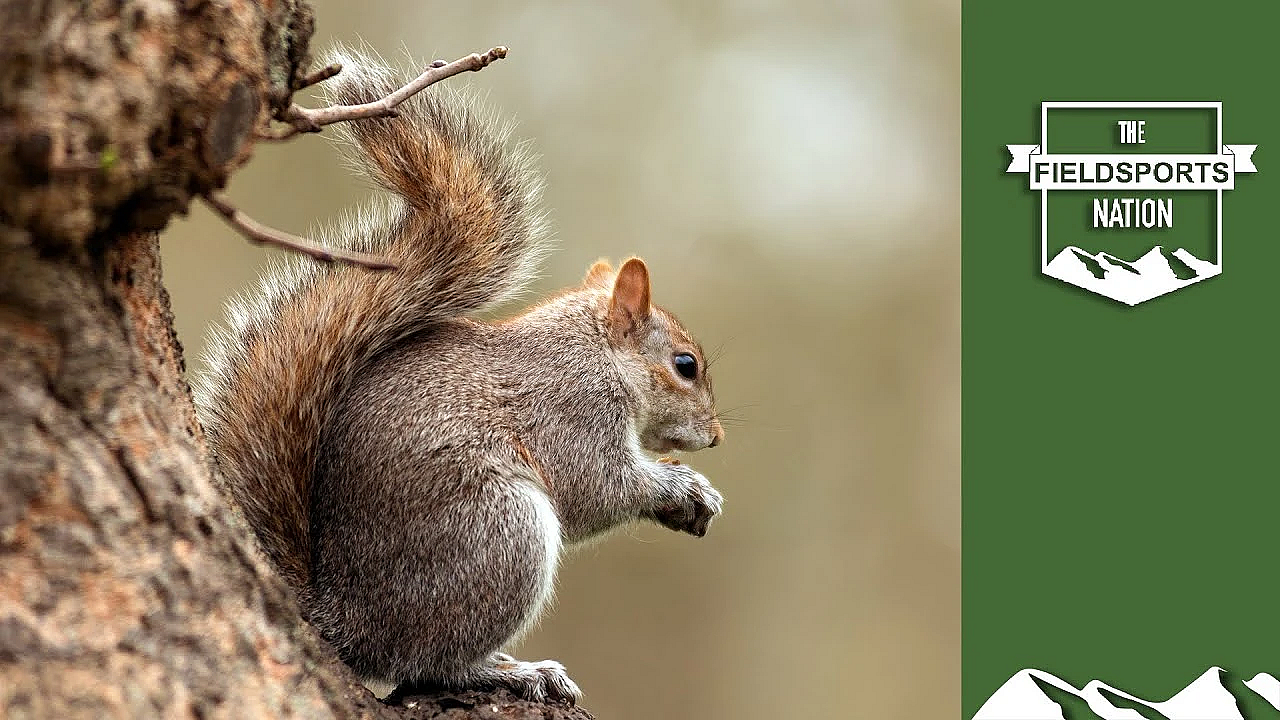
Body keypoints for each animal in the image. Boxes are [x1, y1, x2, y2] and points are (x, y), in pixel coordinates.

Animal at [193, 48, 725, 705]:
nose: (716, 435)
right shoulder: (573, 410)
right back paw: (512, 670)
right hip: (499, 533)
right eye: (685, 365)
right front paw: (685, 489)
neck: (596, 352)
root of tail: (342, 621)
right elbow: (597, 488)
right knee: (429, 664)